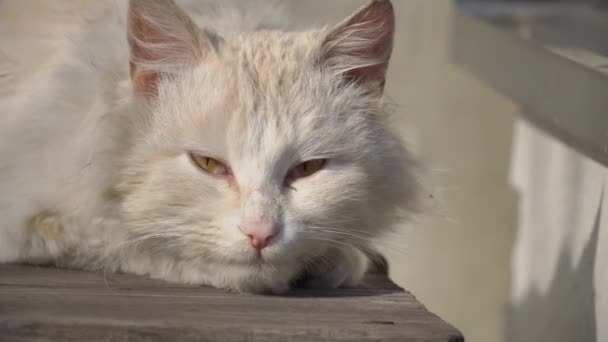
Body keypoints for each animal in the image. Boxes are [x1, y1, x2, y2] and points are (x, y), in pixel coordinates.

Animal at [0, 0, 420, 294]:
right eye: (207, 164)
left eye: (307, 169)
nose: (260, 234)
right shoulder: (32, 217)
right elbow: (133, 240)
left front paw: (336, 259)